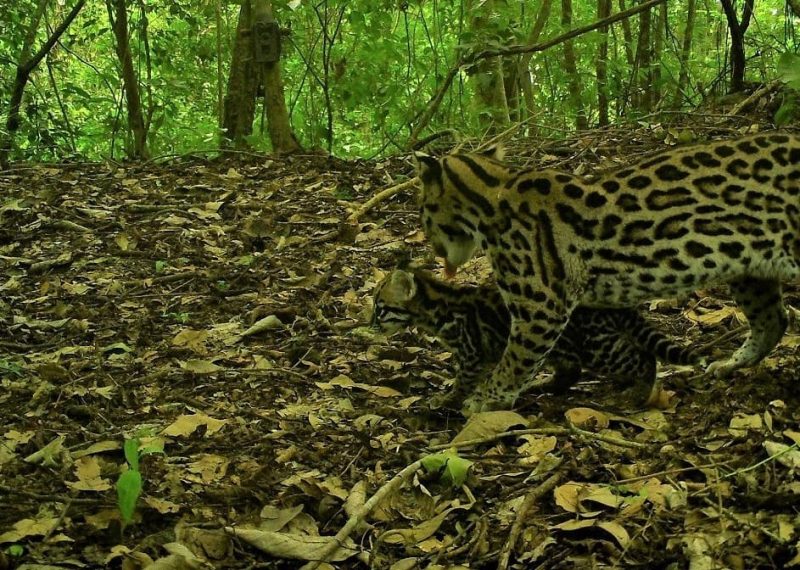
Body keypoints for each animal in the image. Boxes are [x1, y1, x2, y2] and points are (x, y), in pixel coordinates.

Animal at [370, 268, 700, 406]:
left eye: (379, 307)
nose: (369, 324)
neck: (441, 306)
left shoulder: (472, 352)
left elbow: (463, 381)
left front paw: (446, 399)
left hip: (596, 346)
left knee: (642, 358)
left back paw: (638, 392)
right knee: (571, 369)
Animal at [412, 131, 800, 410]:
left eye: (422, 210)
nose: (431, 244)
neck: (491, 192)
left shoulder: (541, 308)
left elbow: (515, 360)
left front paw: (485, 399)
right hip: (751, 270)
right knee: (773, 320)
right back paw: (732, 363)